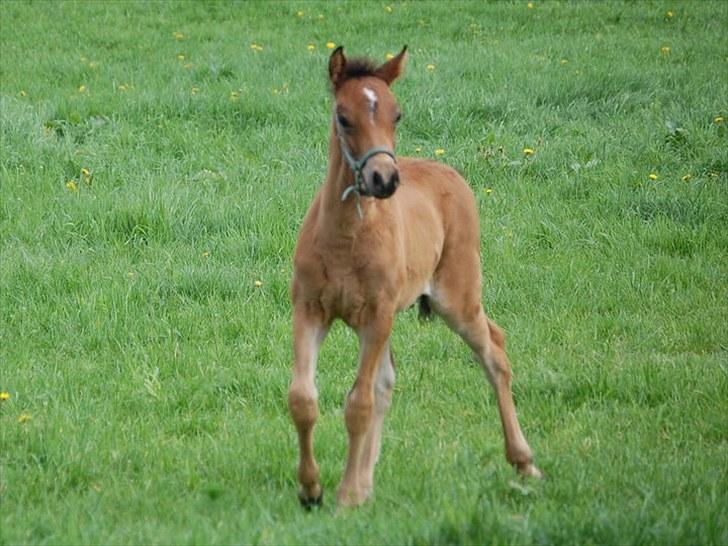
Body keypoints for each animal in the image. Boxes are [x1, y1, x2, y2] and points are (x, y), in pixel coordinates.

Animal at [288, 45, 540, 506]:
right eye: (343, 116)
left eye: (397, 114)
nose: (384, 179)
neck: (345, 238)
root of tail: (452, 174)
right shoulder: (309, 309)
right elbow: (303, 398)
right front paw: (312, 488)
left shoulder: (378, 314)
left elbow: (358, 404)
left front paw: (345, 496)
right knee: (387, 381)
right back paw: (366, 480)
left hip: (456, 296)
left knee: (494, 350)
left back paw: (524, 461)